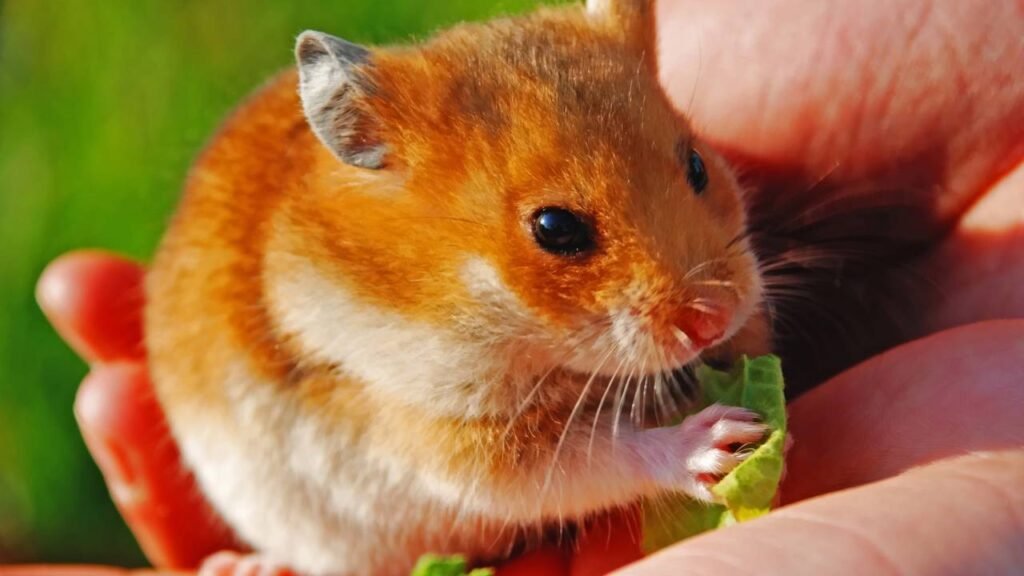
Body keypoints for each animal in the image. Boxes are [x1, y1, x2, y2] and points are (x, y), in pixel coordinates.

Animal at [145, 0, 772, 574]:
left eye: (697, 166)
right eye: (555, 228)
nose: (715, 318)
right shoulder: (457, 441)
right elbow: (599, 455)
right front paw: (725, 441)